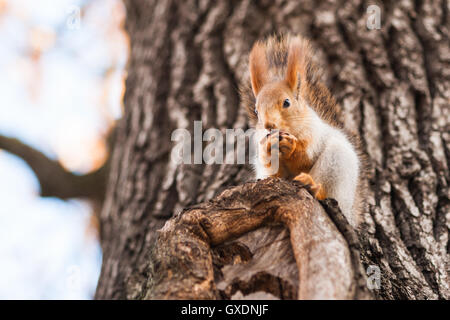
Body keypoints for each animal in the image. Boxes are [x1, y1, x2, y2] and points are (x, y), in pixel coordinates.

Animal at [241, 33, 364, 226]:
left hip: (336, 165)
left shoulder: (315, 133)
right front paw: (269, 148)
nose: (269, 126)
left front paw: (292, 147)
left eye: (286, 102)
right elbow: (272, 167)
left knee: (324, 190)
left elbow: (305, 157)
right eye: (256, 110)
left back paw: (311, 184)